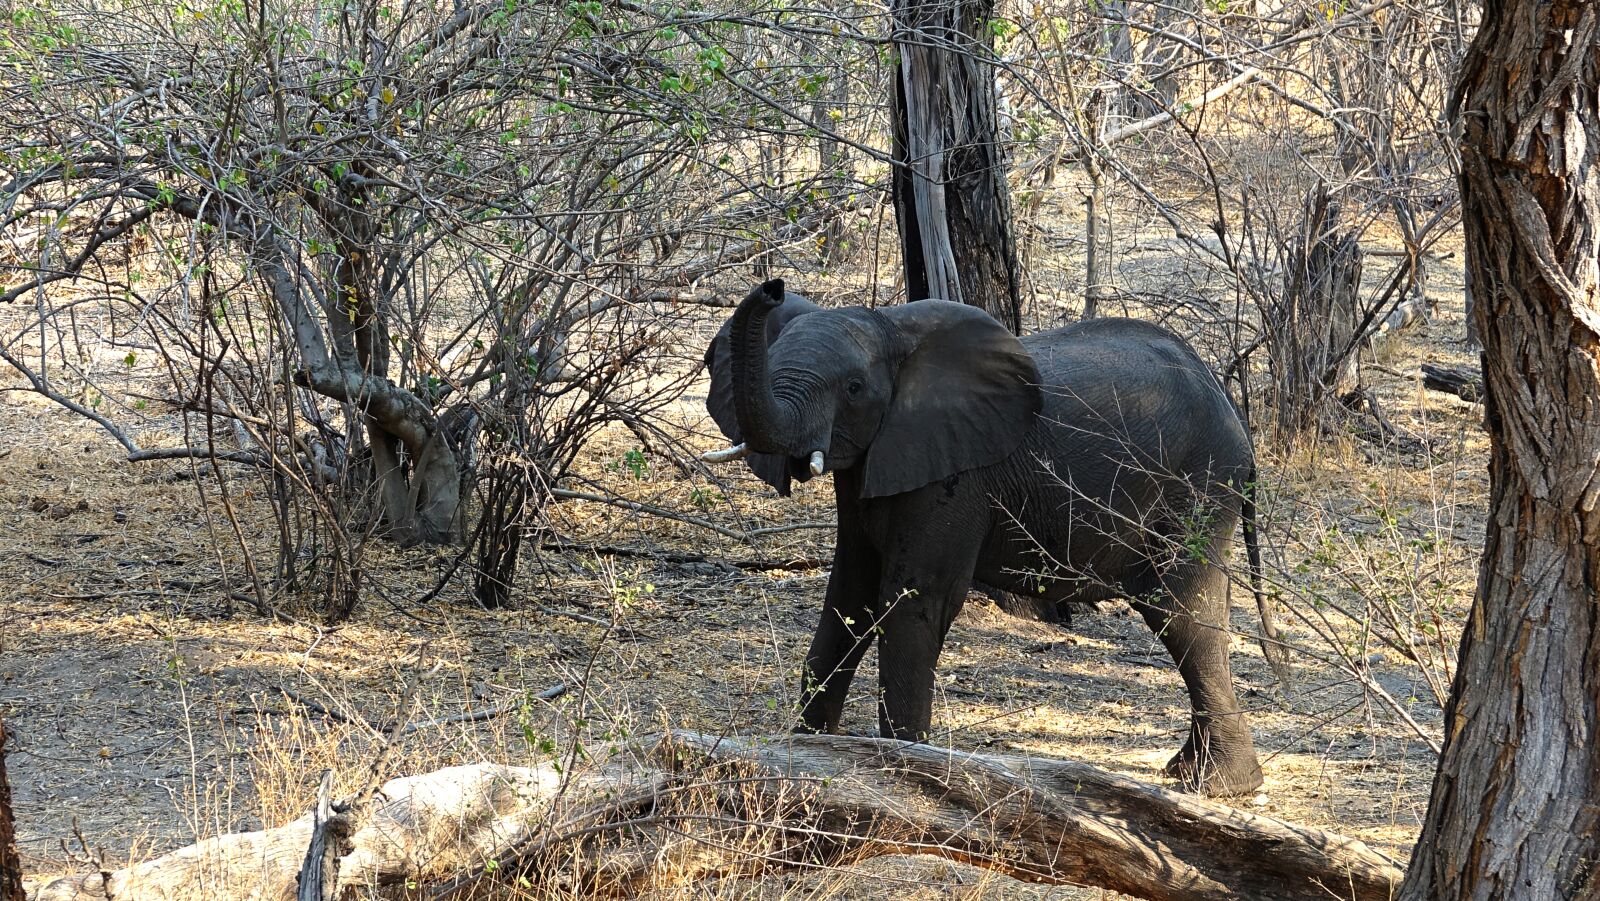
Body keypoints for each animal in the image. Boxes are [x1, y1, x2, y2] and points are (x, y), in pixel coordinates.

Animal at [702, 278, 1269, 795]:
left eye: (854, 389)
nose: (772, 288)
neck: (890, 328)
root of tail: (1229, 401)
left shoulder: (956, 476)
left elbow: (912, 603)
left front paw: (904, 774)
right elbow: (848, 600)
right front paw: (807, 752)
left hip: (1201, 483)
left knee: (1180, 611)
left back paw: (1216, 785)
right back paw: (1190, 773)